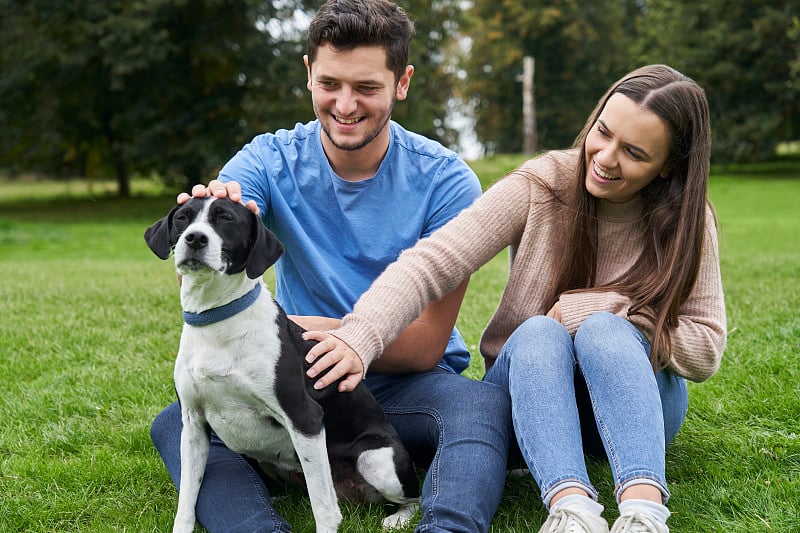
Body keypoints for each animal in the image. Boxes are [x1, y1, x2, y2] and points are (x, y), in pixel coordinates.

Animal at [145, 197, 418, 528]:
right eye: (183, 218)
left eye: (227, 219)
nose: (195, 238)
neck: (218, 321)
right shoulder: (193, 426)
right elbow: (187, 499)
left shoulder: (305, 418)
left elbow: (324, 509)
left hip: (376, 459)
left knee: (412, 498)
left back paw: (399, 518)